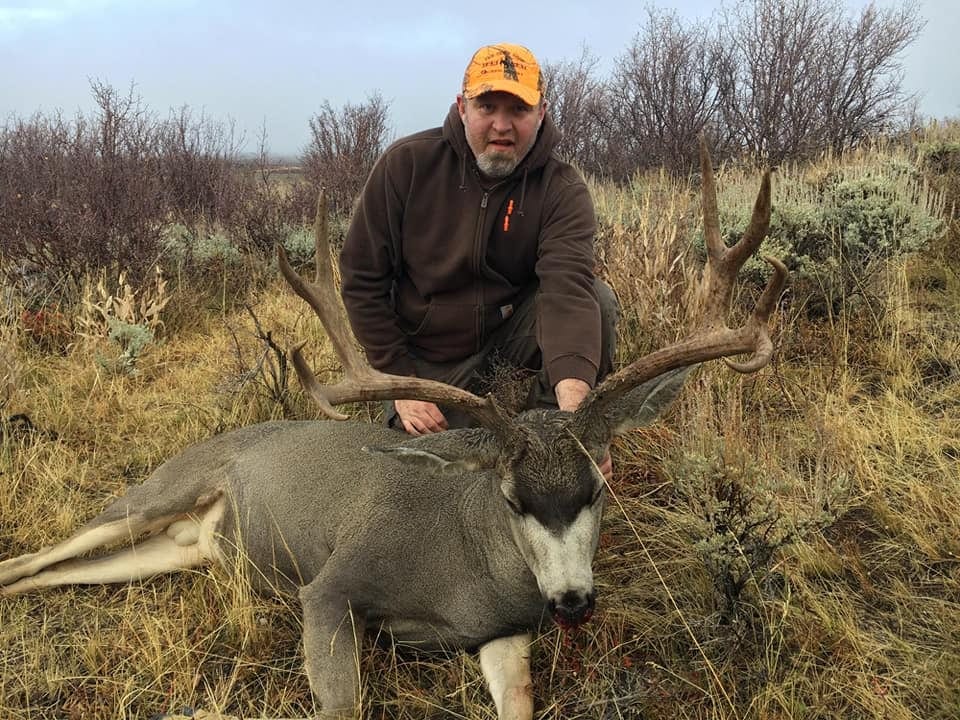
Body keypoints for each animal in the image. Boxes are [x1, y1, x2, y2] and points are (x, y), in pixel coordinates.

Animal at [0, 138, 785, 720]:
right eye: (511, 499)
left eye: (595, 489)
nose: (571, 603)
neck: (465, 568)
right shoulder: (329, 588)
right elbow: (342, 702)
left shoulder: (503, 634)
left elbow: (522, 703)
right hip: (155, 493)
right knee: (37, 555)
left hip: (175, 551)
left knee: (58, 573)